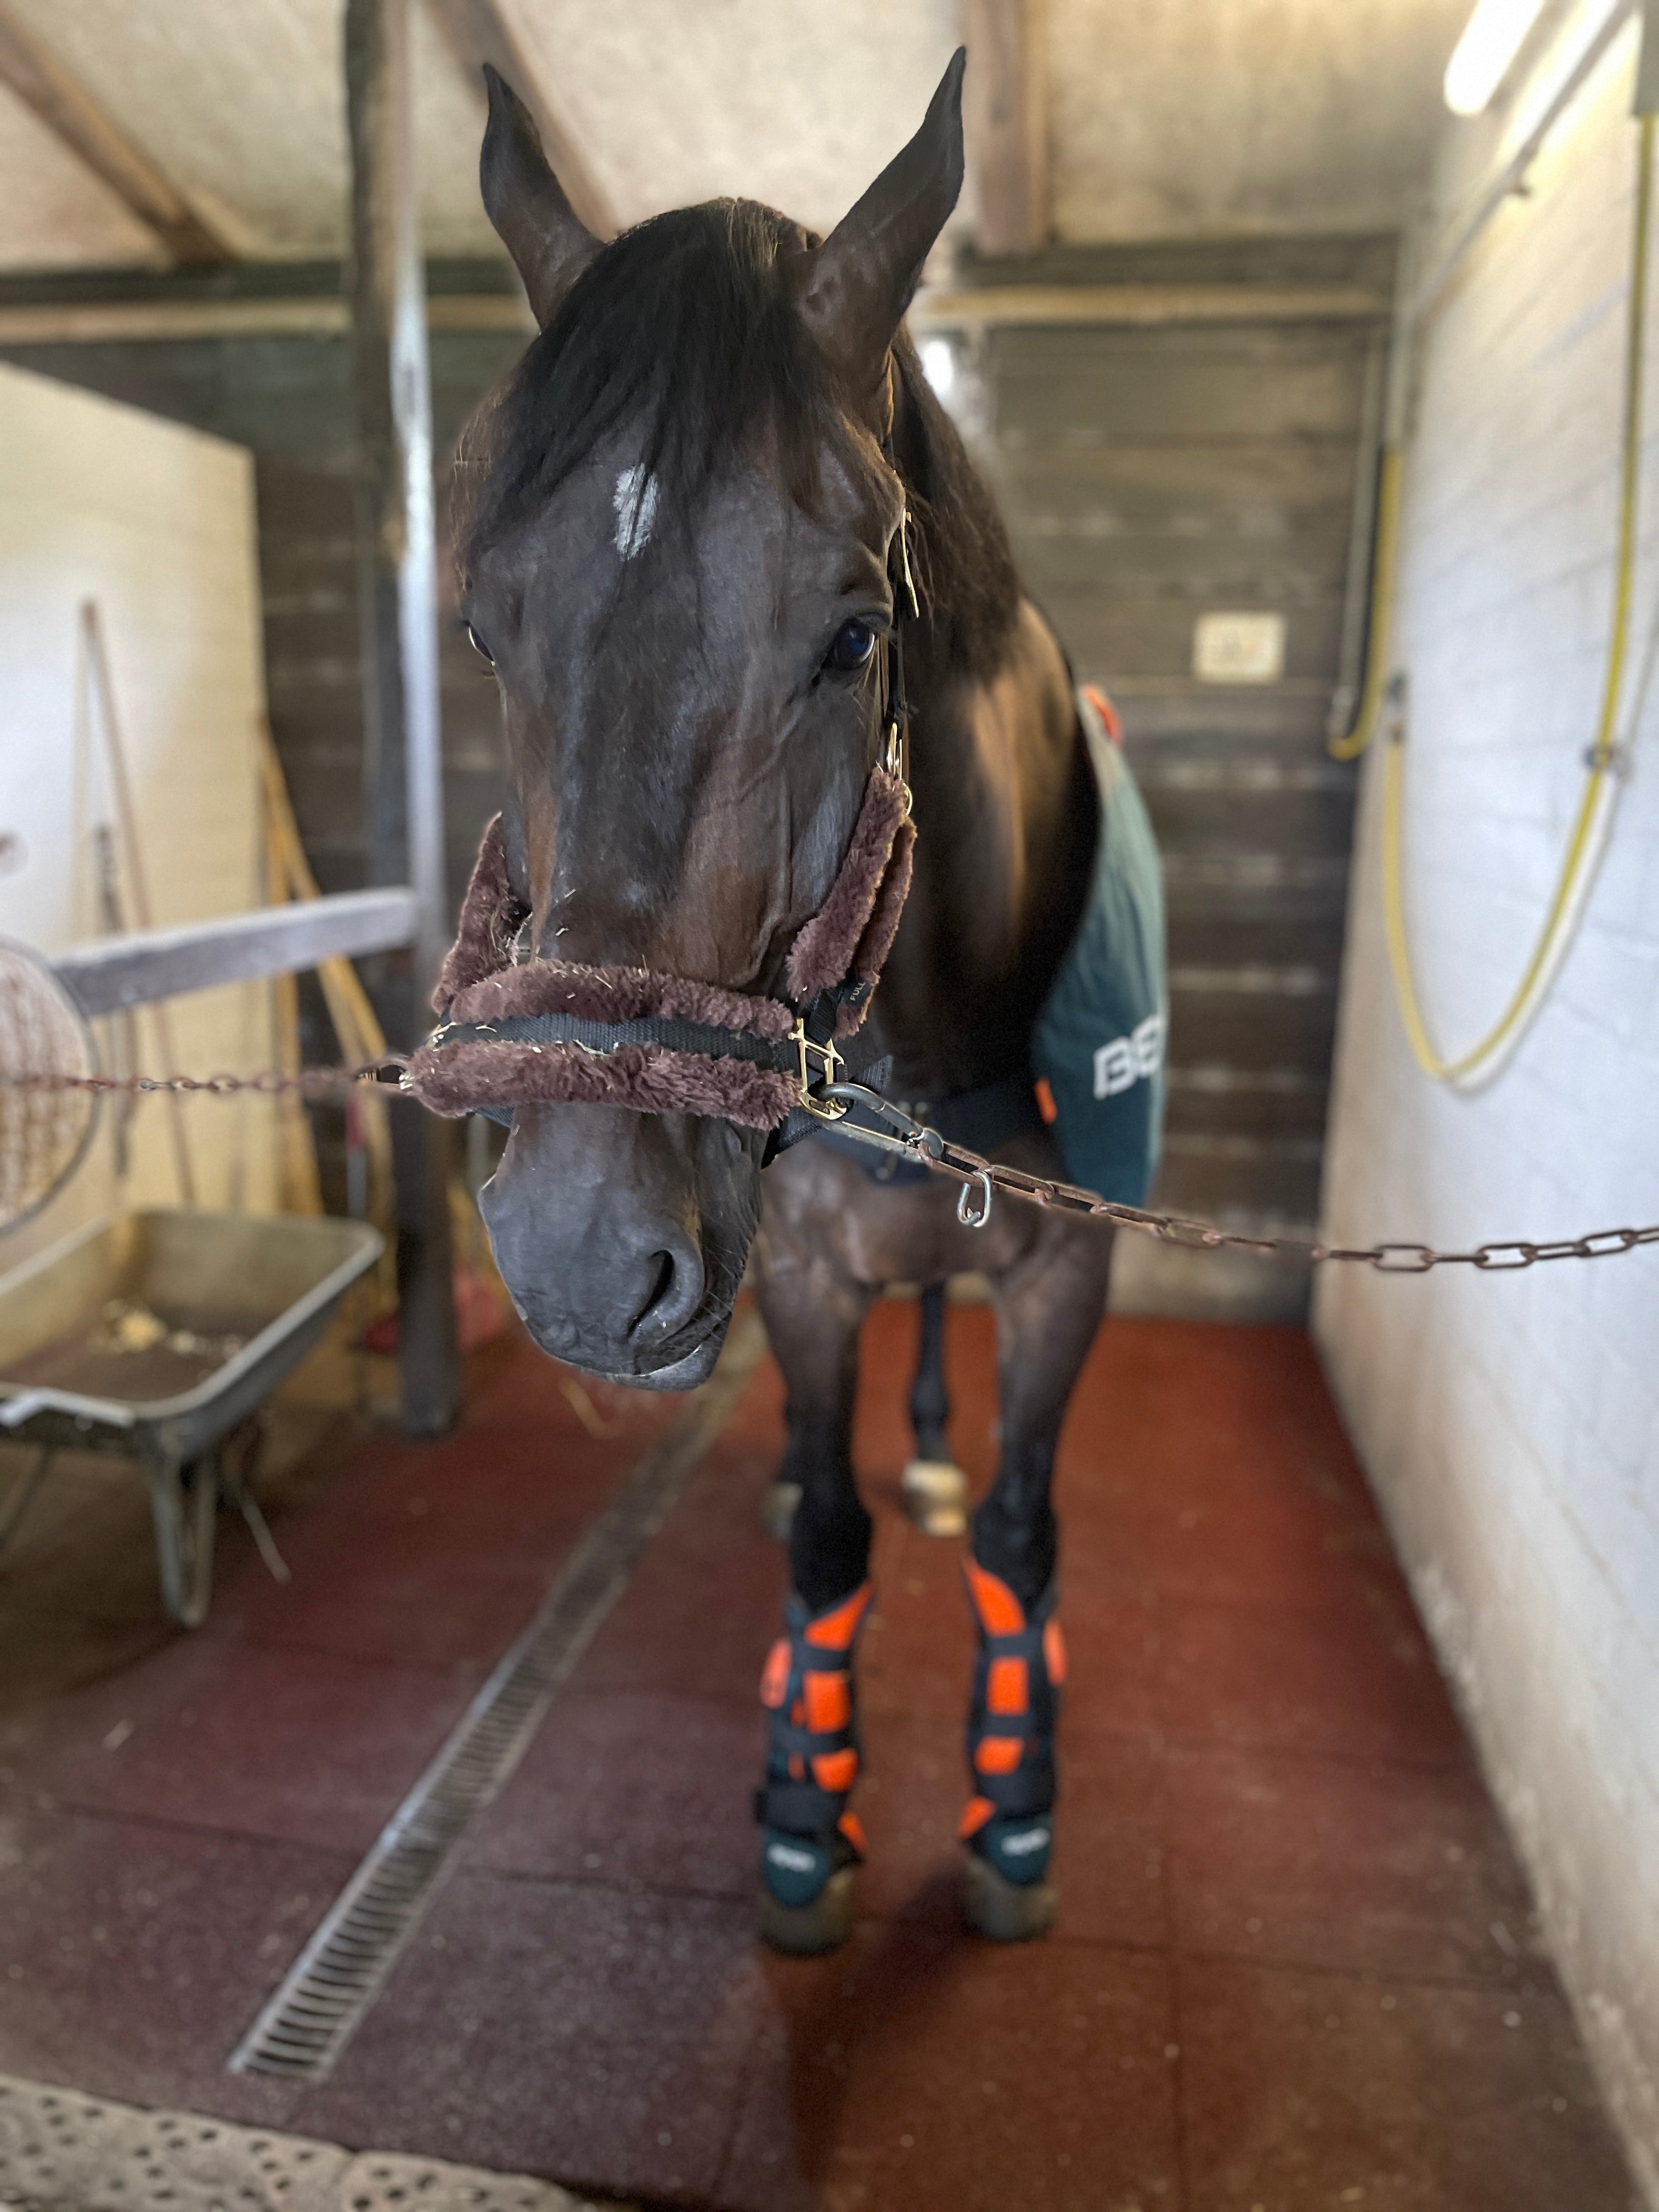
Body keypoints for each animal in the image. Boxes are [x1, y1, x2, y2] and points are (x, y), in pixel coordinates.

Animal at [433, 52, 1163, 1954]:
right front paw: (801, 1803)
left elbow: (1025, 1535)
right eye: (481, 633)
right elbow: (827, 1537)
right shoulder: (813, 1275)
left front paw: (1015, 1806)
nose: (583, 1254)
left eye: (851, 637)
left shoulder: (1072, 1271)